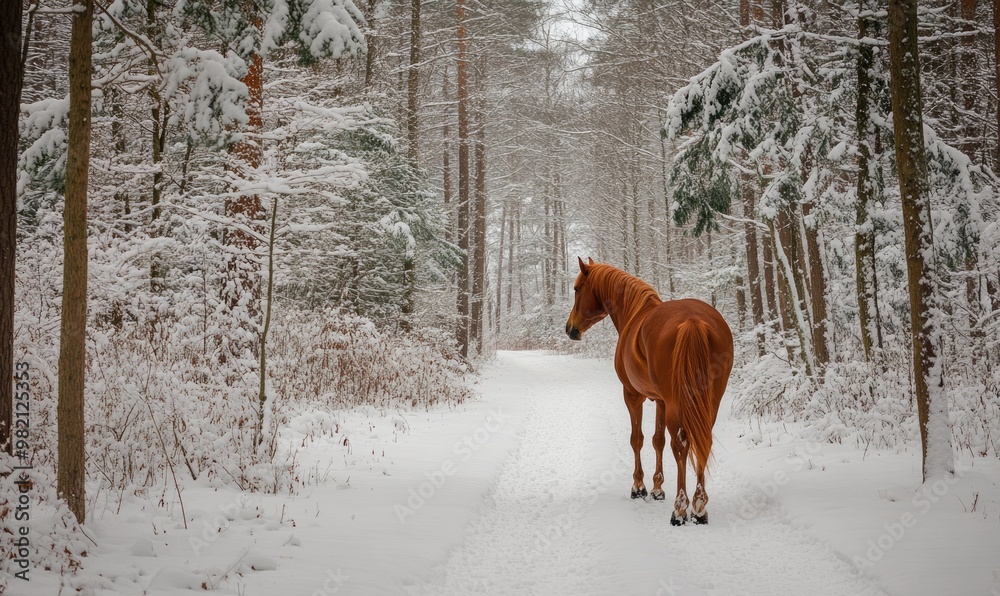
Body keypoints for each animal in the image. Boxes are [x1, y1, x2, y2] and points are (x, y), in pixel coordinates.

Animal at [565, 257, 734, 525]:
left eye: (577, 289)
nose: (570, 329)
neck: (634, 313)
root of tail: (694, 321)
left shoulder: (633, 396)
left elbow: (637, 439)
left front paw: (639, 487)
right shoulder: (660, 401)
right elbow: (657, 440)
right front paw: (657, 489)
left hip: (677, 402)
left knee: (681, 445)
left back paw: (680, 509)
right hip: (709, 401)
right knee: (702, 441)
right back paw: (700, 509)